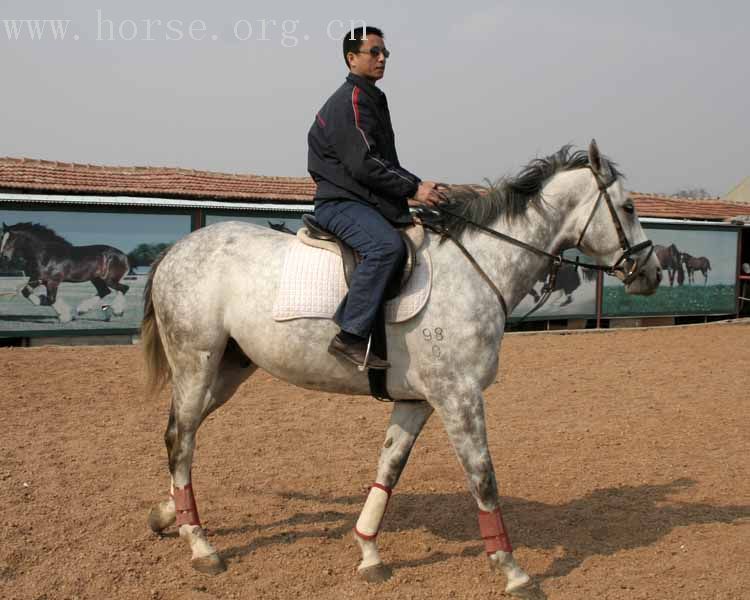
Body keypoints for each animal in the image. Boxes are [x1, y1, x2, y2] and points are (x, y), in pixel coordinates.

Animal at [142, 143, 664, 596]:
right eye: (629, 207)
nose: (652, 274)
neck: (477, 268)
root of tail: (178, 249)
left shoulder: (417, 402)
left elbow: (389, 469)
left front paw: (369, 552)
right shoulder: (459, 398)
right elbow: (483, 478)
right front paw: (513, 571)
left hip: (228, 370)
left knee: (178, 434)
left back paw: (169, 515)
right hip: (196, 364)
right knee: (183, 440)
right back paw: (200, 544)